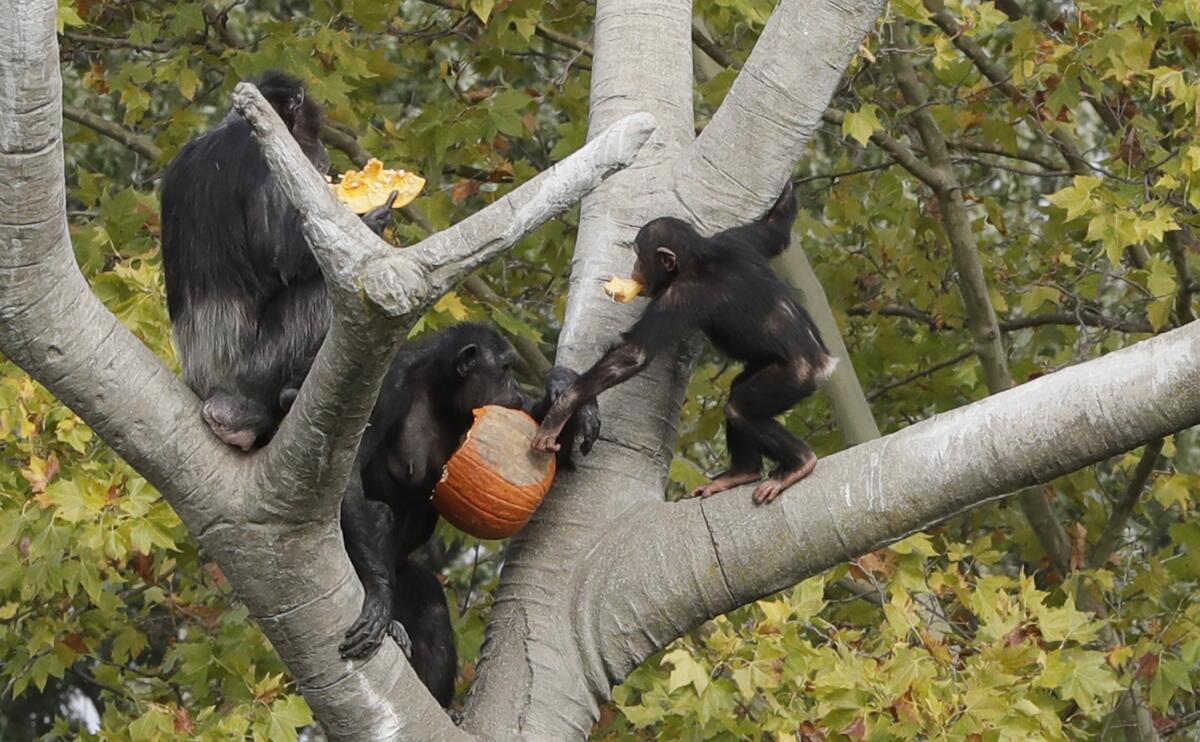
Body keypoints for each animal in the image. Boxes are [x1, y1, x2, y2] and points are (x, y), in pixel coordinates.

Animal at [158, 70, 393, 451]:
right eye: (312, 132)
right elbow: (284, 252)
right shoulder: (262, 155)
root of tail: (211, 394)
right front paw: (369, 220)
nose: (322, 153)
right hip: (257, 368)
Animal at [338, 324, 600, 705]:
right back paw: (391, 621)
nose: (516, 387)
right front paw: (377, 594)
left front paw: (564, 389)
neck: (440, 391)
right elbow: (349, 472)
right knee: (378, 514)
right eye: (505, 369)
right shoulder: (388, 387)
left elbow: (545, 439)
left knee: (432, 608)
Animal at [535, 181, 835, 501]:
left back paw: (799, 463)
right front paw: (789, 187)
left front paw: (560, 412)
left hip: (795, 377)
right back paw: (743, 472)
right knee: (738, 390)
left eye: (640, 257)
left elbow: (633, 354)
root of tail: (826, 363)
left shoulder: (679, 296)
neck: (697, 257)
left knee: (740, 408)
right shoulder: (737, 239)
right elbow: (775, 229)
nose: (634, 270)